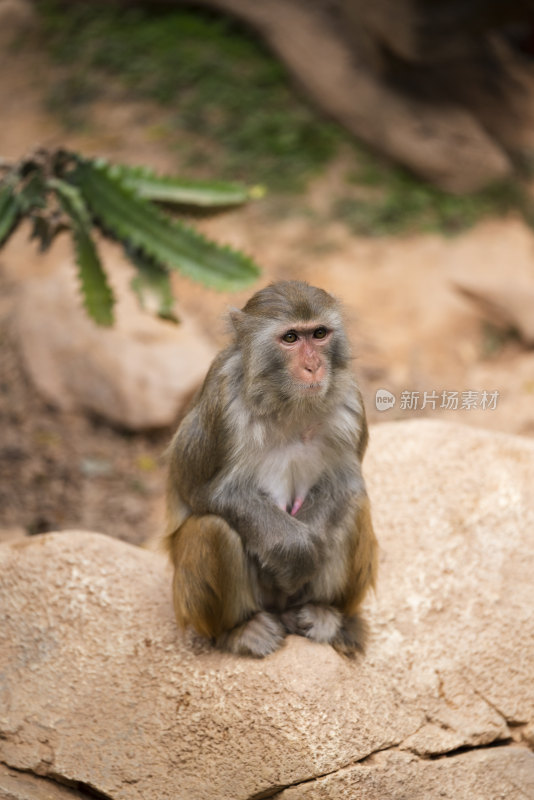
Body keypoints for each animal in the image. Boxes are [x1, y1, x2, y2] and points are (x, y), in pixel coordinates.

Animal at [165, 280, 378, 656]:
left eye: (319, 334)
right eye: (290, 338)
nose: (314, 366)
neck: (287, 402)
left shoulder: (350, 400)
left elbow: (345, 484)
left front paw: (309, 550)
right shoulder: (222, 397)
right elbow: (204, 492)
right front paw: (298, 553)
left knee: (352, 507)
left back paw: (323, 613)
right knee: (211, 528)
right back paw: (239, 631)